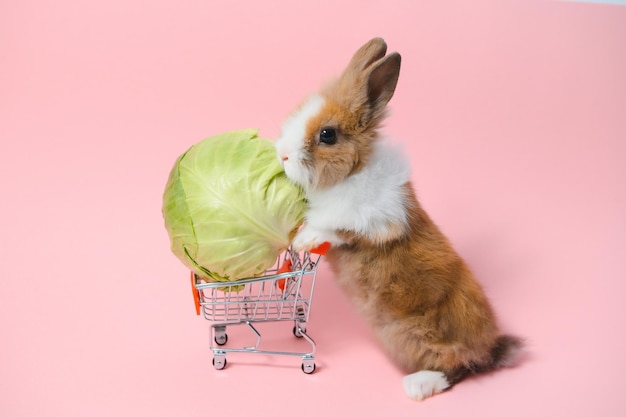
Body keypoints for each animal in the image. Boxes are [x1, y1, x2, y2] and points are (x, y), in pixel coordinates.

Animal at [272, 38, 520, 400]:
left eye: (328, 135)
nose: (283, 155)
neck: (351, 173)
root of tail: (492, 348)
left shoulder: (376, 221)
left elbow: (335, 228)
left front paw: (305, 239)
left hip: (426, 338)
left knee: (459, 367)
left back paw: (418, 385)